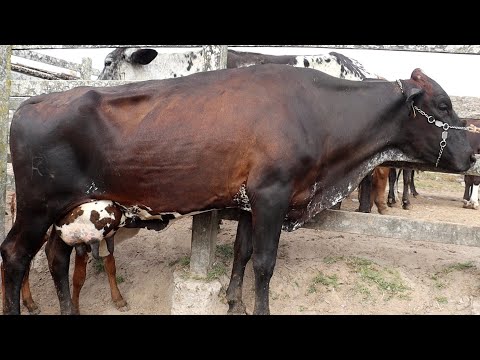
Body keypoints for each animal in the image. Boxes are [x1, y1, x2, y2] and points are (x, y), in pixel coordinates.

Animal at [1, 66, 474, 314]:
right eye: (443, 104)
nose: (473, 153)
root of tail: (31, 102)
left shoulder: (251, 202)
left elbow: (243, 254)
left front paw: (234, 301)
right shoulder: (272, 194)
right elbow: (265, 263)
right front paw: (258, 307)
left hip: (67, 214)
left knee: (56, 258)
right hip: (36, 208)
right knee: (15, 255)